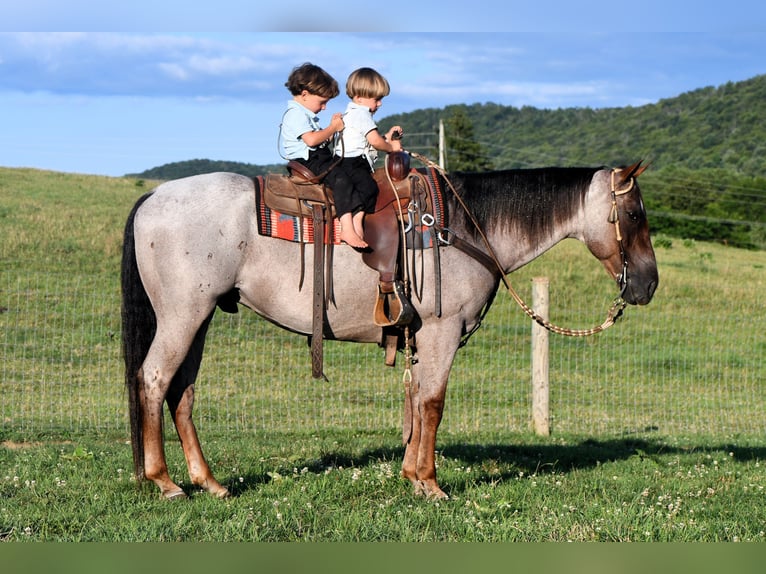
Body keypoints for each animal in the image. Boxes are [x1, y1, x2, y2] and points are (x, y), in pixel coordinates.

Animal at [120, 161, 660, 500]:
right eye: (634, 214)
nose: (649, 284)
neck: (465, 226)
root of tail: (153, 196)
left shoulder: (423, 338)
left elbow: (416, 400)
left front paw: (410, 476)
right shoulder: (443, 332)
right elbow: (433, 403)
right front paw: (431, 484)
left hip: (200, 317)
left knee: (182, 392)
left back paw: (208, 482)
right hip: (183, 316)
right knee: (154, 381)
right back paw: (164, 482)